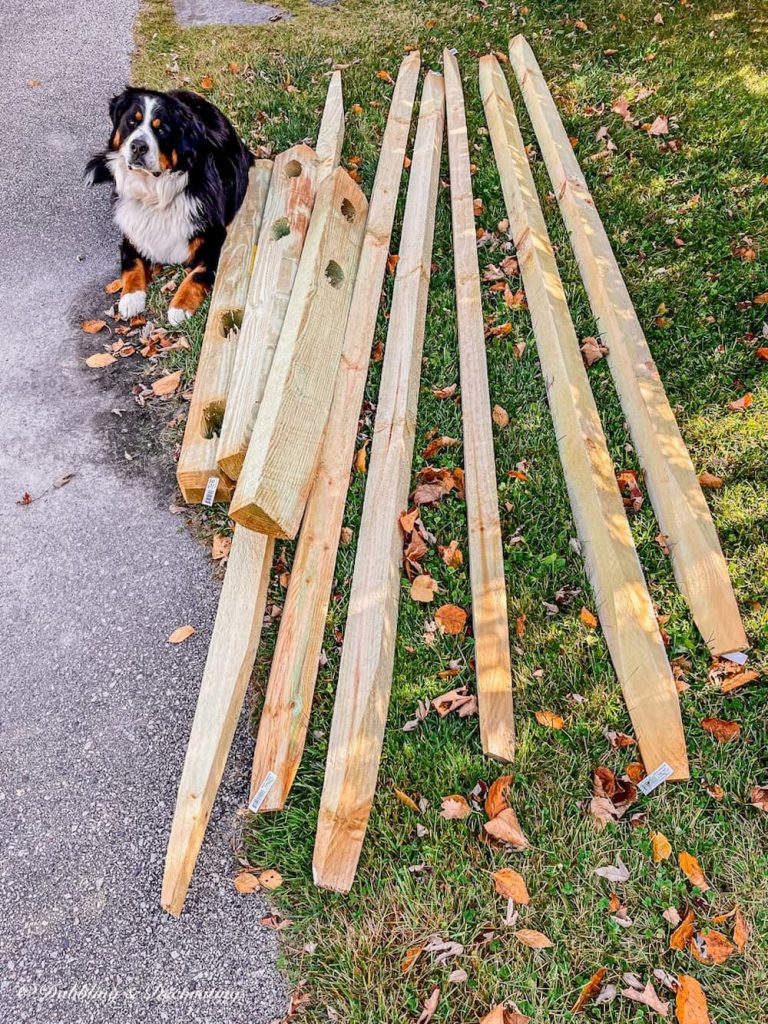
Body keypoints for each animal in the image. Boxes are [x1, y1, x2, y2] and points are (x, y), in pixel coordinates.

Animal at [84, 91, 252, 325]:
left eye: (161, 129)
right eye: (131, 122)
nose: (138, 146)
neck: (154, 195)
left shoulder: (215, 240)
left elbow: (198, 274)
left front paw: (180, 307)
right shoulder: (132, 233)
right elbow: (131, 264)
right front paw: (130, 298)